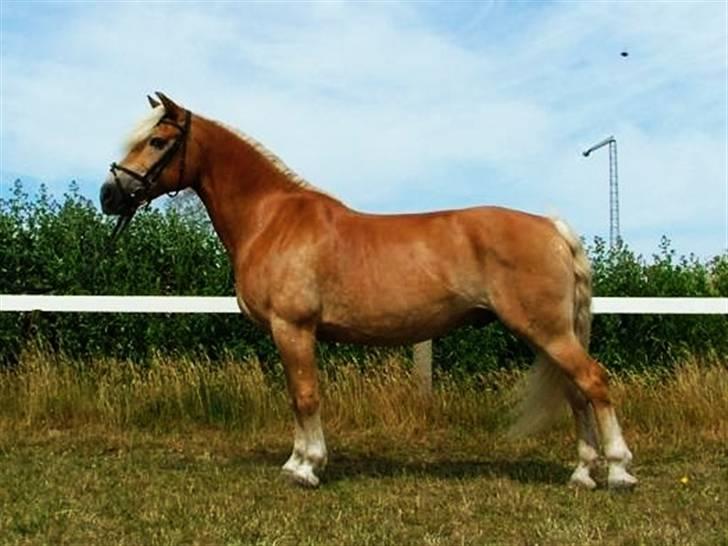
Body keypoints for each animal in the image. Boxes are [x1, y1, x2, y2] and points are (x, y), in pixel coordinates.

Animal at [100, 92, 637, 490]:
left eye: (158, 140)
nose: (109, 195)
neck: (272, 217)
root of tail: (551, 226)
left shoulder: (293, 328)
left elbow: (305, 395)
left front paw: (306, 467)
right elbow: (297, 396)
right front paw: (298, 461)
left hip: (548, 331)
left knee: (593, 382)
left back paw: (617, 470)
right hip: (549, 334)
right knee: (574, 392)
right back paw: (582, 474)